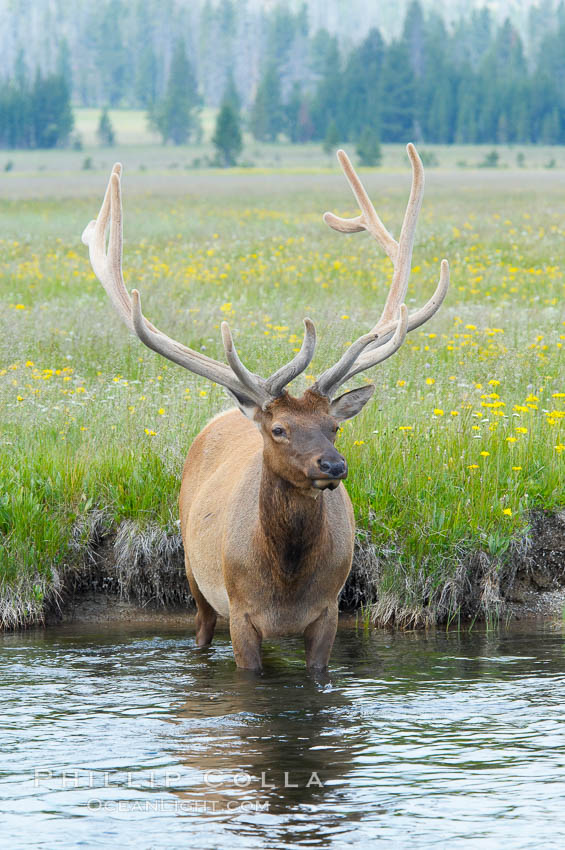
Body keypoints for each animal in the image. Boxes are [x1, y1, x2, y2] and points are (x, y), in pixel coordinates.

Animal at [81, 147, 448, 676]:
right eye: (279, 428)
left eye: (334, 427)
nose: (332, 465)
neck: (285, 584)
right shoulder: (241, 612)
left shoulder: (329, 611)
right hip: (194, 573)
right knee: (199, 631)